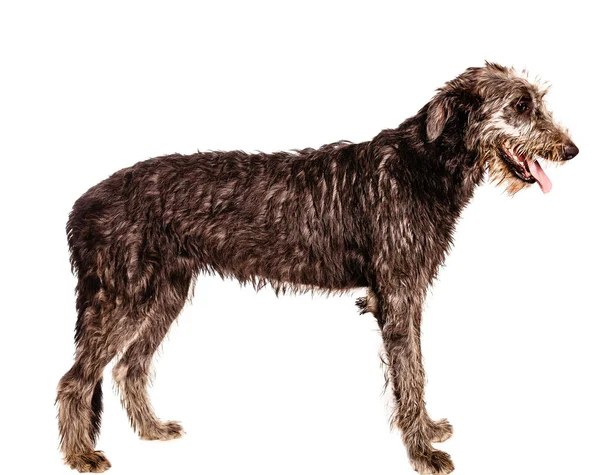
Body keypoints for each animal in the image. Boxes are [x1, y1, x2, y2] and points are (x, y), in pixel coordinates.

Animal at [56, 62, 576, 472]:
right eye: (521, 105)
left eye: (537, 102)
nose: (571, 150)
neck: (422, 165)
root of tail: (82, 205)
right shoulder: (398, 293)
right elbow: (411, 373)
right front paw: (423, 453)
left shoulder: (404, 296)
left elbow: (416, 371)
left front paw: (426, 430)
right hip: (120, 297)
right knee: (75, 379)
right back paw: (80, 455)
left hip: (165, 294)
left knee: (130, 367)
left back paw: (151, 429)